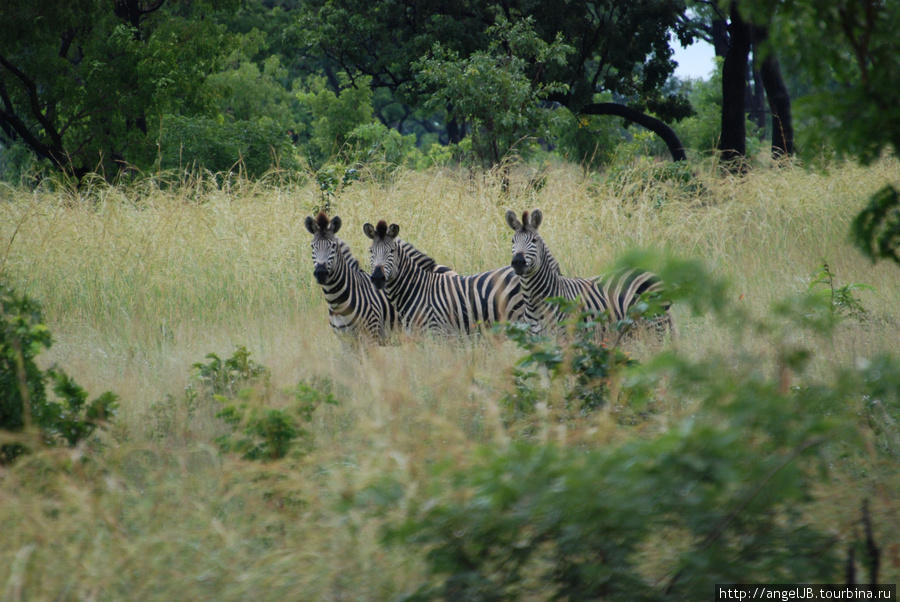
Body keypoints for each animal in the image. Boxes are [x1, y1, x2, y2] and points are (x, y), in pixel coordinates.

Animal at [502, 209, 672, 336]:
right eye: (512, 241)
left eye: (534, 240)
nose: (518, 261)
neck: (534, 303)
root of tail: (650, 272)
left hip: (656, 325)